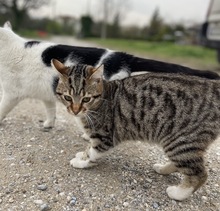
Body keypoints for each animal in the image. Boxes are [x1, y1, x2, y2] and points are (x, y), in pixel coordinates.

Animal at [0, 21, 219, 129]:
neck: (11, 49)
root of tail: (123, 55)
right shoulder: (48, 93)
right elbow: (50, 109)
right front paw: (48, 124)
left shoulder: (11, 94)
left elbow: (2, 109)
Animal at [52, 59, 220, 201]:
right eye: (68, 97)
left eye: (86, 99)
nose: (75, 110)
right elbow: (88, 147)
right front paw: (82, 154)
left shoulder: (104, 136)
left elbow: (93, 152)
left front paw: (82, 162)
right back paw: (163, 168)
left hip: (181, 141)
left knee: (199, 174)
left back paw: (178, 193)